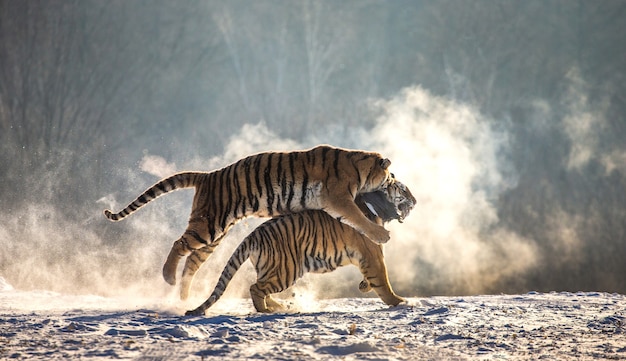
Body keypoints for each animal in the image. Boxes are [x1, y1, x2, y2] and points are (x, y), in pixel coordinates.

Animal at [184, 179, 414, 314]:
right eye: (403, 189)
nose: (416, 200)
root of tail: (254, 234)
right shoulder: (373, 254)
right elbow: (383, 281)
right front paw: (399, 301)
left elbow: (372, 278)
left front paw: (364, 286)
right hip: (286, 270)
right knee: (255, 288)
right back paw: (266, 310)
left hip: (271, 268)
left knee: (261, 287)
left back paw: (279, 306)